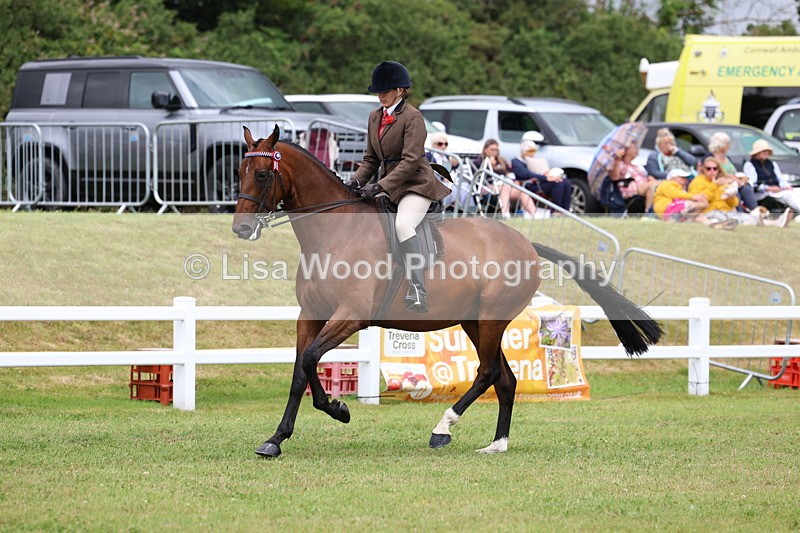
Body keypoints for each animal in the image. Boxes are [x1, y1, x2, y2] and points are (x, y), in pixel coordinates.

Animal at [232, 125, 662, 458]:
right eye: (239, 171)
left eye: (264, 175)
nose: (240, 229)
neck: (334, 232)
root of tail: (525, 243)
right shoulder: (310, 316)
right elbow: (299, 370)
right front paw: (276, 439)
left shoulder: (350, 316)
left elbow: (310, 359)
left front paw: (339, 409)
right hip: (475, 321)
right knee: (505, 379)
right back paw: (497, 444)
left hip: (490, 320)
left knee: (488, 372)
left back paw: (443, 429)